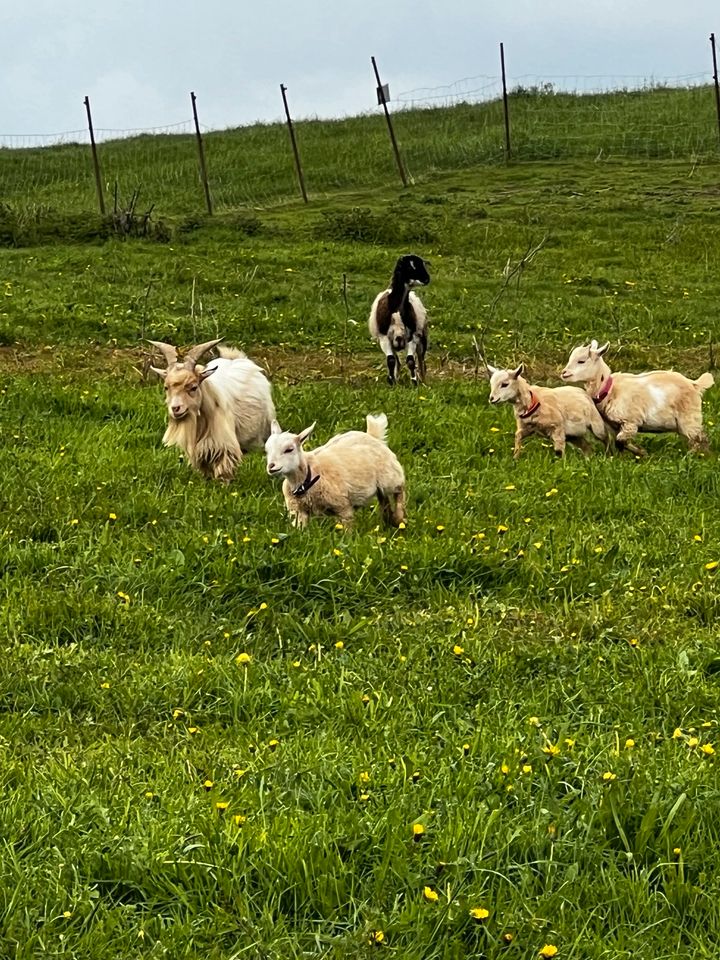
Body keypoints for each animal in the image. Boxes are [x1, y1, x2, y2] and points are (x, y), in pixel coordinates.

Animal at [268, 414, 408, 532]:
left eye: (289, 449)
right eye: (267, 450)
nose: (271, 467)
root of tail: (372, 435)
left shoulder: (343, 508)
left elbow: (347, 532)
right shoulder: (298, 512)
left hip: (390, 476)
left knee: (399, 490)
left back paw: (399, 518)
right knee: (384, 499)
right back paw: (388, 521)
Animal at [368, 255, 430, 390]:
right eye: (410, 267)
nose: (427, 279)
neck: (396, 309)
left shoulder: (412, 336)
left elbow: (411, 361)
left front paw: (414, 382)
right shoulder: (384, 337)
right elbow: (391, 360)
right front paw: (392, 382)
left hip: (422, 337)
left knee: (421, 360)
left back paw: (423, 380)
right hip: (394, 342)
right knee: (397, 360)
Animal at [560, 340, 712, 456]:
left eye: (581, 361)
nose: (564, 373)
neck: (610, 390)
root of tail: (695, 384)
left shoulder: (631, 422)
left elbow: (620, 441)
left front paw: (641, 453)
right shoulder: (614, 426)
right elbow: (620, 443)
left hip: (689, 417)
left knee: (699, 439)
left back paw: (697, 457)